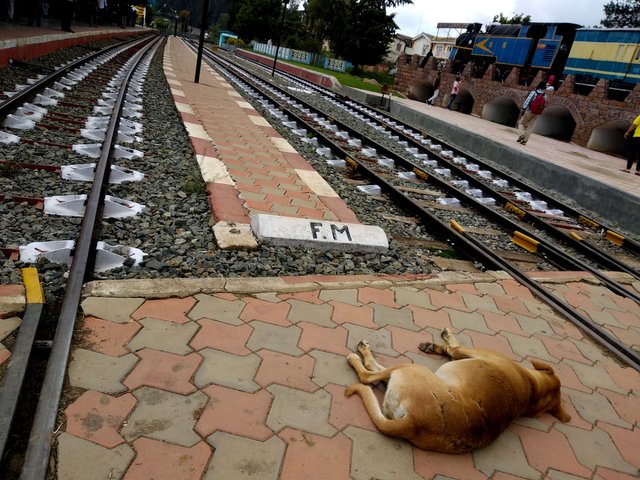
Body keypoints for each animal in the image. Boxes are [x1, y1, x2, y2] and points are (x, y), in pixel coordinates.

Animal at [344, 326, 568, 454]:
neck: (533, 390)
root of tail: (414, 422)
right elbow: (450, 349)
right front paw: (435, 346)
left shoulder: (466, 352)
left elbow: (454, 347)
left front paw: (444, 341)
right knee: (378, 375)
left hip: (412, 369)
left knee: (368, 375)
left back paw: (359, 355)